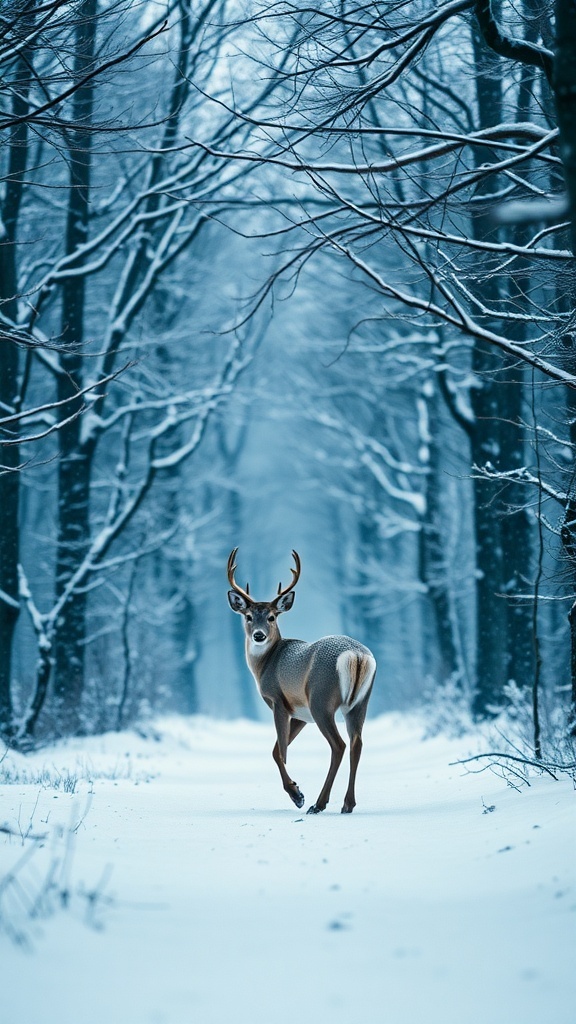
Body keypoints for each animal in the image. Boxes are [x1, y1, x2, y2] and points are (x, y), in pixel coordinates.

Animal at [227, 548, 376, 814]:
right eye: (248, 616)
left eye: (272, 617)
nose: (258, 635)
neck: (266, 663)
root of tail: (356, 655)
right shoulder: (300, 714)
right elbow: (277, 749)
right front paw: (297, 792)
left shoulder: (278, 701)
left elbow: (279, 753)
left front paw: (297, 794)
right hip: (359, 704)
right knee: (356, 743)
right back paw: (347, 804)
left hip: (321, 700)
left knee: (339, 745)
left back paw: (319, 803)